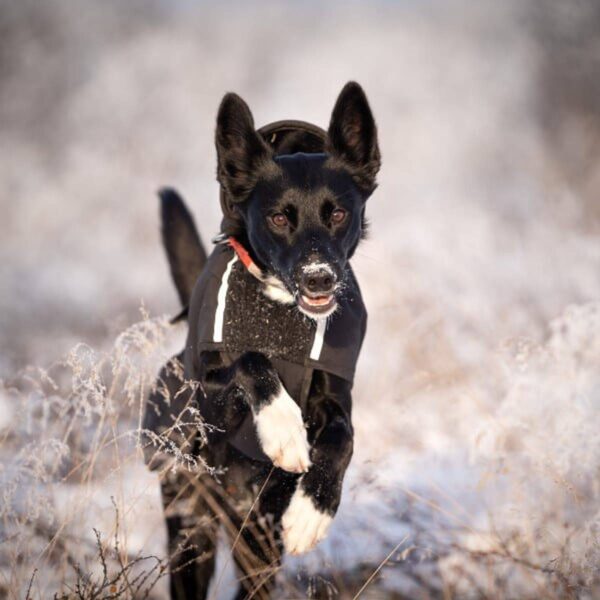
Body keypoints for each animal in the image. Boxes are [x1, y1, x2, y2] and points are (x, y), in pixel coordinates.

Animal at [142, 81, 380, 600]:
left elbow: (344, 436)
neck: (283, 310)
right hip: (194, 525)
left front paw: (313, 512)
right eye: (278, 219)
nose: (318, 279)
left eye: (338, 213)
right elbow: (250, 359)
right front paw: (282, 427)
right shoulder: (207, 396)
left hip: (257, 536)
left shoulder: (336, 393)